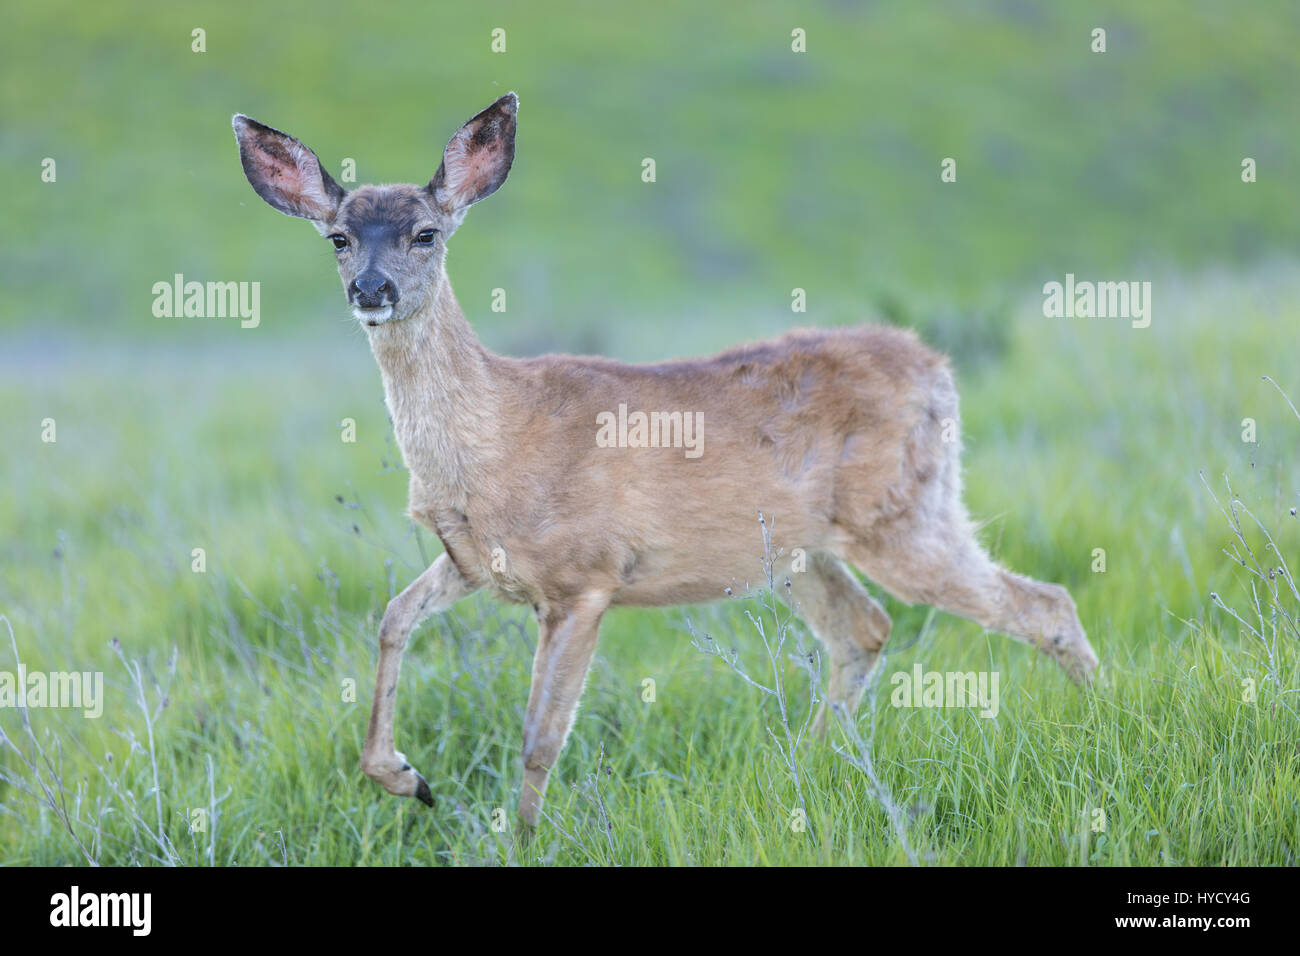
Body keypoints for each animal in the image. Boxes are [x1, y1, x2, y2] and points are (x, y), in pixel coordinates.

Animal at [231, 93, 1097, 827]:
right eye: (339, 238)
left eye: (425, 234)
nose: (371, 289)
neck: (495, 435)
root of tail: (937, 367)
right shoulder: (477, 562)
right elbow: (391, 618)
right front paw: (407, 778)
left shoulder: (584, 578)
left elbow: (540, 733)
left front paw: (525, 837)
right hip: (805, 550)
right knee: (867, 629)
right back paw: (801, 770)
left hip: (902, 513)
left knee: (1043, 603)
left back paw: (1098, 722)